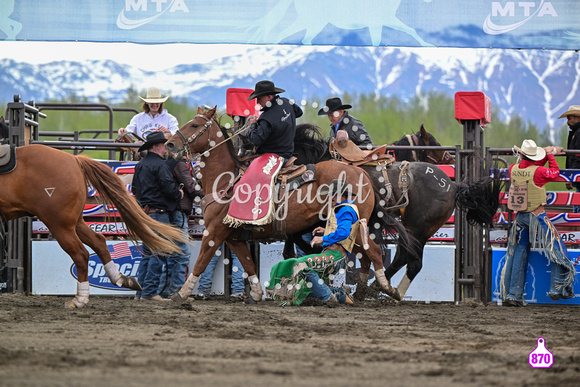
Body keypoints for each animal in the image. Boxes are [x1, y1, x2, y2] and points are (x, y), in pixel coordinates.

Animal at [0, 143, 187, 310]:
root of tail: (74, 160)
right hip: (74, 223)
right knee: (98, 241)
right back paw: (120, 279)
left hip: (59, 224)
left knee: (81, 254)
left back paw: (80, 299)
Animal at [164, 106, 412, 304]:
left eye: (194, 124)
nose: (169, 144)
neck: (227, 180)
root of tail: (361, 172)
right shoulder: (233, 237)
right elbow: (248, 264)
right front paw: (256, 293)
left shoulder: (214, 232)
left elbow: (201, 261)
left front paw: (181, 294)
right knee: (365, 255)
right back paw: (360, 292)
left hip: (357, 224)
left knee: (374, 252)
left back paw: (387, 289)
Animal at [292, 123, 500, 302]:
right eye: (437, 146)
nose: (452, 162)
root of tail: (453, 185)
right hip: (412, 229)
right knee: (404, 256)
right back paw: (377, 288)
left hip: (418, 228)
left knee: (412, 261)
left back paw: (388, 291)